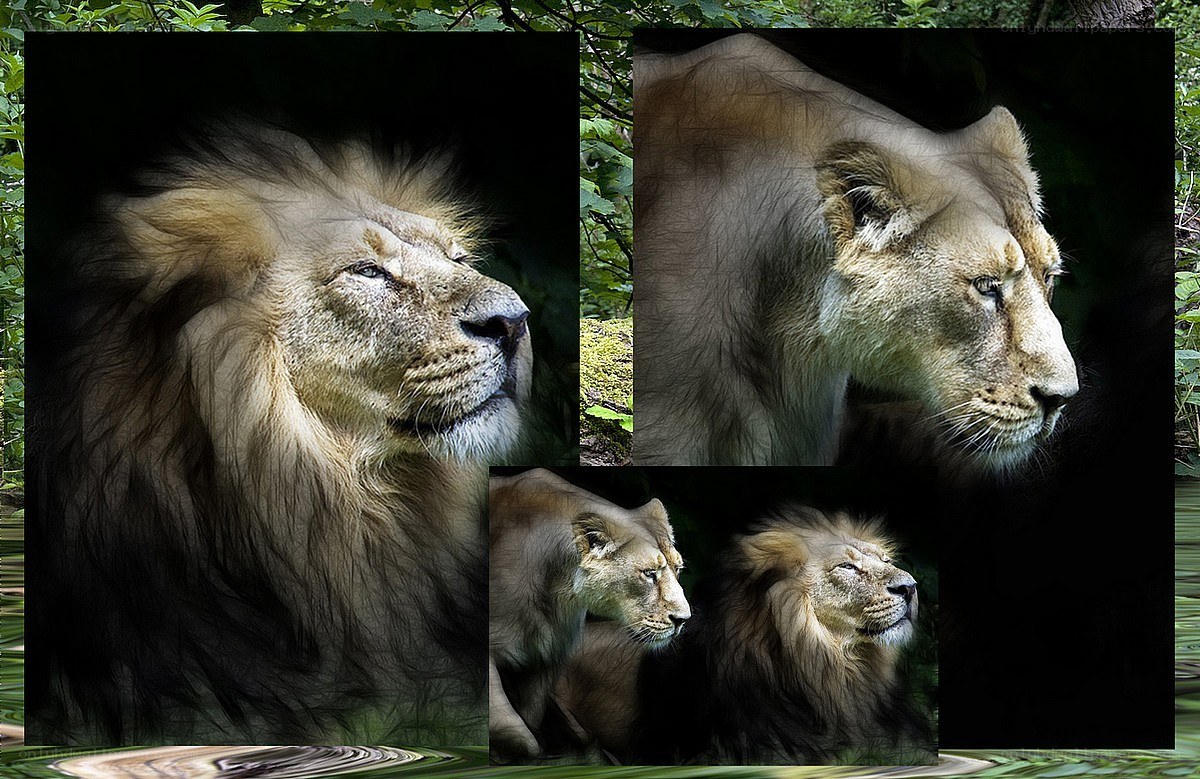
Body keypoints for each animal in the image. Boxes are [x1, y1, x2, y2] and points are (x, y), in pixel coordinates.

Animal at [488, 469, 690, 760]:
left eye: (678, 569)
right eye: (649, 573)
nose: (683, 620)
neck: (557, 588)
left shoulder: (545, 660)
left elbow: (530, 717)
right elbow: (516, 732)